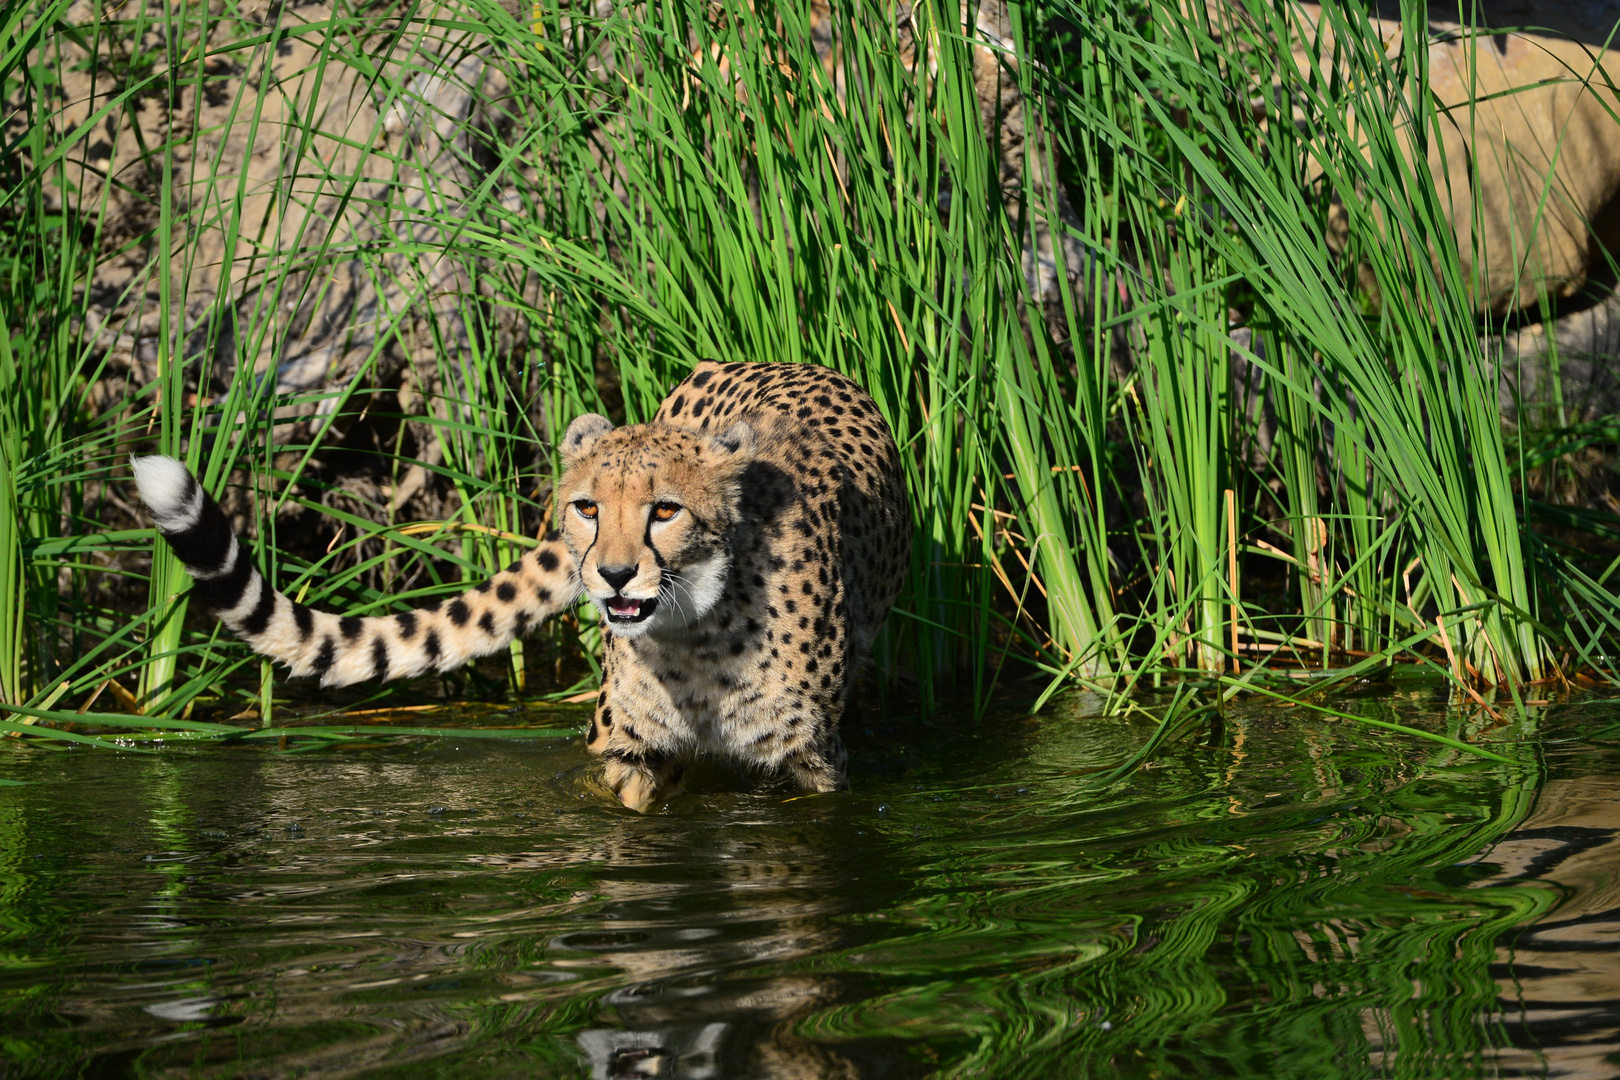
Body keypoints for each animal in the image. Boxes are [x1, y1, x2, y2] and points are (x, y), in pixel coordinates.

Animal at [137, 362, 913, 809]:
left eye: (665, 510)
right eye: (588, 508)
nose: (614, 574)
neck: (699, 632)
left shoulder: (818, 765)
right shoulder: (628, 753)